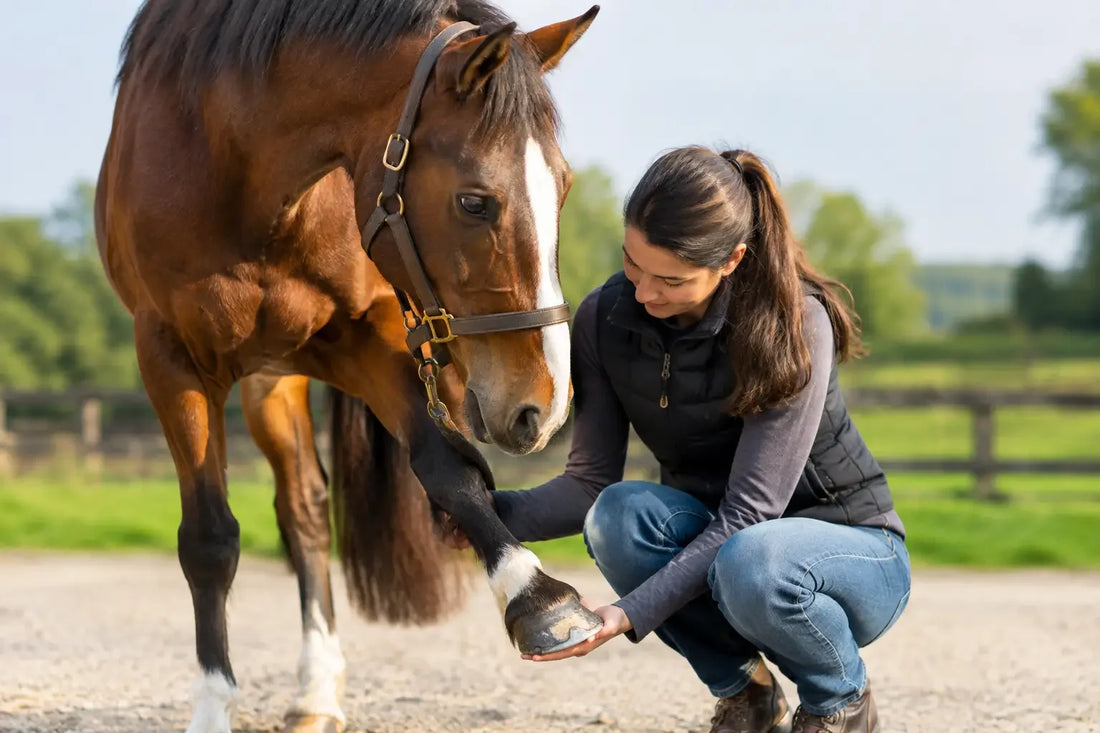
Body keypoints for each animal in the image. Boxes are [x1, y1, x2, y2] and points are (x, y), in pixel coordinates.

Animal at [94, 1, 601, 731]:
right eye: (474, 202)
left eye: (561, 188)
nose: (546, 405)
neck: (230, 152)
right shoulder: (170, 361)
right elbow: (209, 540)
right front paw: (212, 705)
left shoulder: (363, 342)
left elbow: (449, 471)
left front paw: (538, 600)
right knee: (298, 507)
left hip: (288, 373)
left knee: (307, 507)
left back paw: (317, 690)